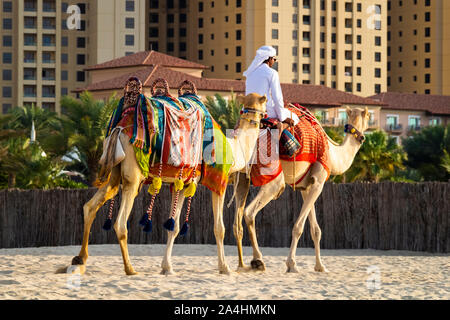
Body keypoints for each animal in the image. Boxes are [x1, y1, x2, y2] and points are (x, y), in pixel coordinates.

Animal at [59, 81, 268, 276]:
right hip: (133, 176)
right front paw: (225, 268)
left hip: (113, 174)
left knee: (89, 206)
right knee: (120, 223)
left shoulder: (183, 183)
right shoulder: (219, 180)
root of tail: (118, 129)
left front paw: (167, 267)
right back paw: (130, 268)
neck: (234, 148)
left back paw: (80, 259)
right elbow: (219, 228)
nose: (269, 119)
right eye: (264, 105)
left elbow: (173, 227)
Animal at [232, 105, 370, 272]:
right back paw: (258, 260)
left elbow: (316, 230)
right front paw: (291, 264)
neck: (333, 154)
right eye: (368, 117)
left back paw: (241, 265)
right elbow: (298, 227)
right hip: (273, 180)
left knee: (236, 222)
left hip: (241, 178)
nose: (363, 137)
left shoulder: (306, 187)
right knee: (249, 212)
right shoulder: (319, 182)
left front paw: (320, 266)